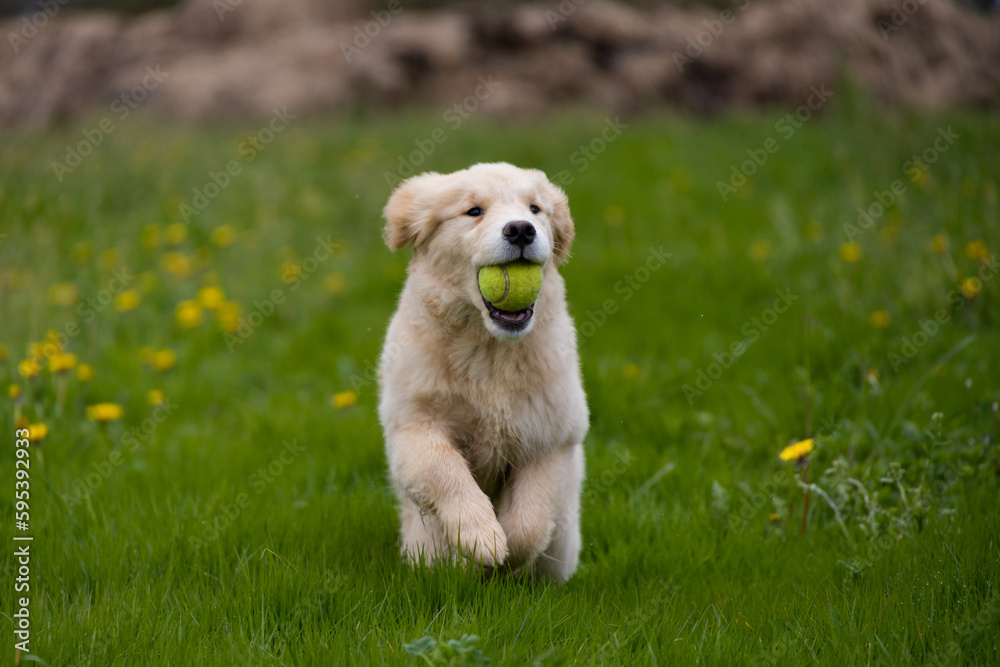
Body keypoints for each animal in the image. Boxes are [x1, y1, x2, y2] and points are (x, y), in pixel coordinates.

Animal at [378, 163, 588, 584]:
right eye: (474, 211)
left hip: (564, 544)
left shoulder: (552, 438)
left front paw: (504, 558)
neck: (490, 350)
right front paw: (480, 539)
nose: (521, 229)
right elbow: (446, 471)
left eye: (535, 208)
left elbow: (529, 521)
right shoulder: (413, 427)